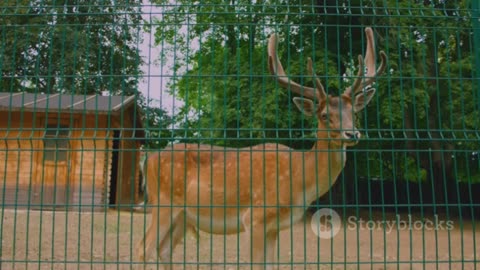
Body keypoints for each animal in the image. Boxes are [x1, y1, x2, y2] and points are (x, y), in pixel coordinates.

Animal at [135, 28, 386, 270]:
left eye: (354, 112)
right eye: (324, 115)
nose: (352, 134)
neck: (299, 181)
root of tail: (148, 160)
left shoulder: (274, 227)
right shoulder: (254, 217)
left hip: (183, 216)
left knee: (164, 250)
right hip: (163, 202)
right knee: (144, 248)